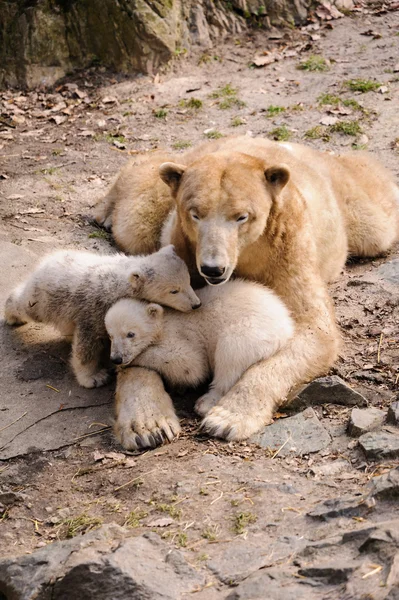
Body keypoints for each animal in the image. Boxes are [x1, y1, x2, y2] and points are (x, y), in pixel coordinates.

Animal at [94, 137, 399, 446]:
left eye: (242, 216)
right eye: (195, 214)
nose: (213, 268)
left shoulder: (288, 253)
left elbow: (314, 331)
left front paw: (227, 418)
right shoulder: (180, 256)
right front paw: (148, 426)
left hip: (343, 197)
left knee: (375, 222)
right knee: (136, 217)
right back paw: (105, 210)